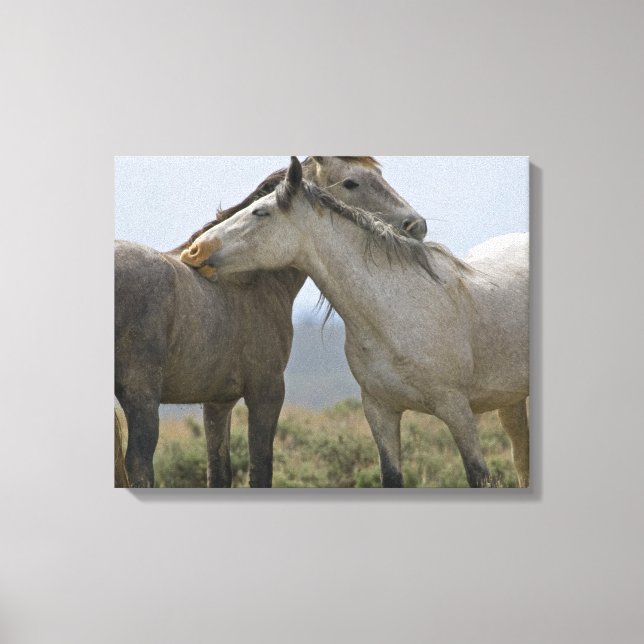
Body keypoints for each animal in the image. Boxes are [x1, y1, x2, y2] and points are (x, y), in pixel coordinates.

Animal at [115, 156, 427, 487]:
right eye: (351, 182)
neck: (245, 279)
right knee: (139, 463)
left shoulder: (217, 402)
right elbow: (260, 469)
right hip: (141, 396)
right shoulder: (267, 392)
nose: (417, 225)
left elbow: (219, 471)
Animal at [181, 157, 529, 488]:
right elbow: (391, 477)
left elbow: (479, 476)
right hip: (511, 403)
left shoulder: (457, 411)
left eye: (261, 212)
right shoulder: (380, 411)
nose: (194, 251)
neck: (396, 311)